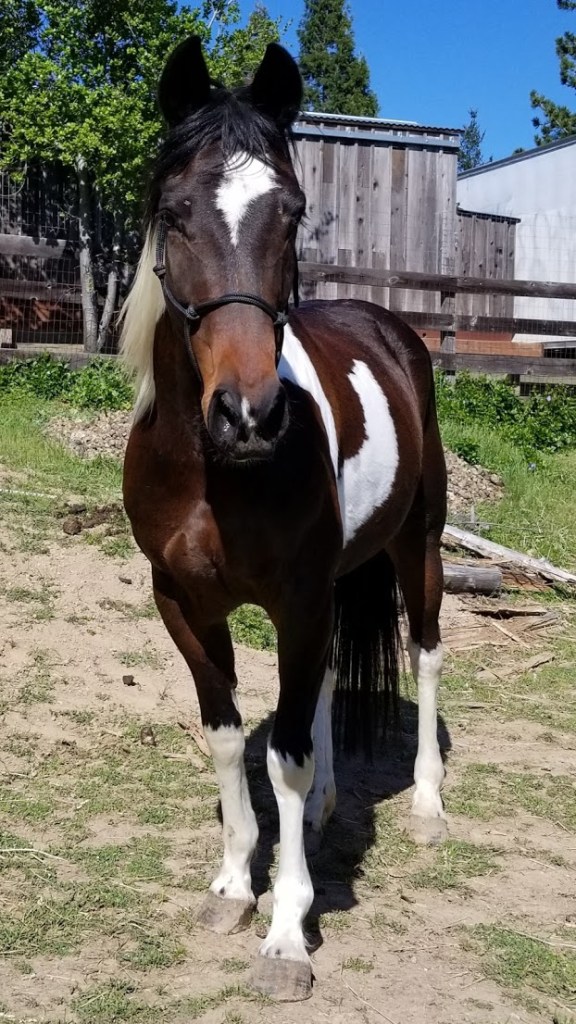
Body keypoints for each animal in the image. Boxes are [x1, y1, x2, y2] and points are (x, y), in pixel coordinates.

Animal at [121, 36, 447, 1002]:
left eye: (292, 212)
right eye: (176, 212)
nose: (250, 415)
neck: (209, 470)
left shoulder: (297, 599)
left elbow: (288, 756)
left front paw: (288, 934)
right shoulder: (183, 603)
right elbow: (231, 739)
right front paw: (235, 884)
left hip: (419, 547)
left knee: (426, 652)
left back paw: (427, 802)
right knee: (333, 678)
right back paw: (338, 805)